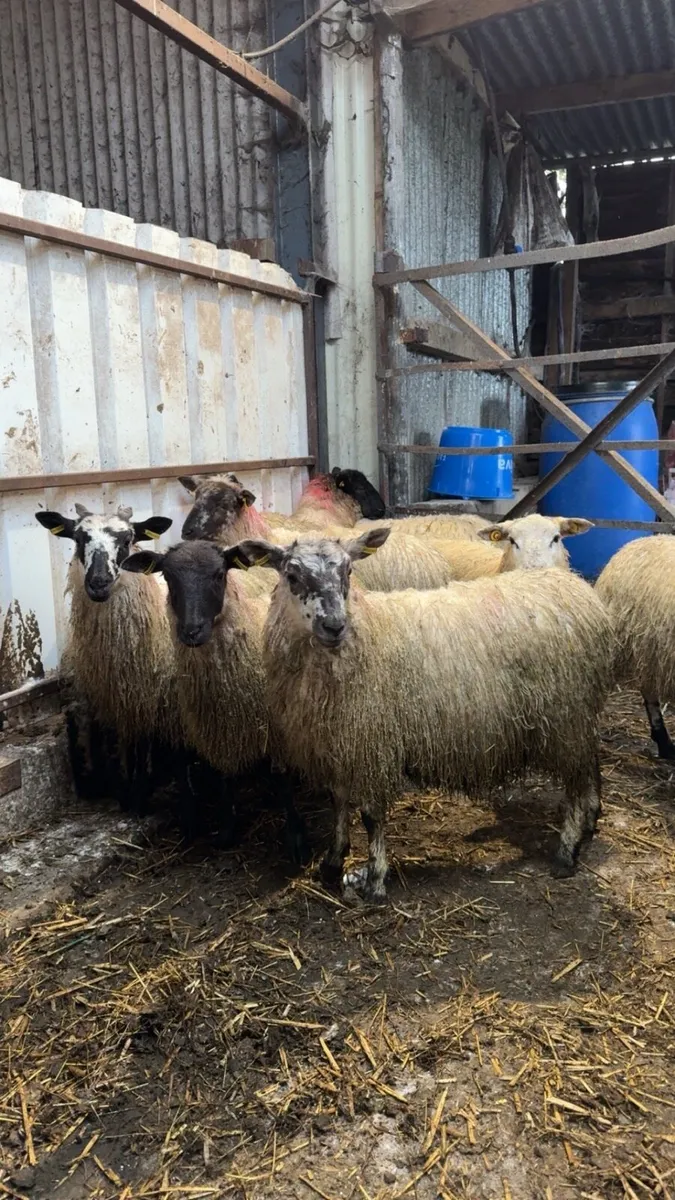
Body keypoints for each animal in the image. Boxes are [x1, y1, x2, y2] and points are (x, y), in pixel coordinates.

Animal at [121, 539, 309, 863]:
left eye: (219, 574)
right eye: (167, 576)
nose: (192, 631)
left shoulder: (275, 729)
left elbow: (281, 776)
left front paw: (296, 837)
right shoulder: (218, 725)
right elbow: (223, 776)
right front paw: (226, 828)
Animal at [228, 529, 615, 901]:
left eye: (349, 571)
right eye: (292, 575)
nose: (335, 626)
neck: (363, 634)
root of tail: (578, 589)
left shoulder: (372, 740)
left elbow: (370, 814)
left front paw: (376, 880)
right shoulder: (341, 740)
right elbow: (338, 801)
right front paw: (332, 862)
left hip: (566, 716)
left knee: (575, 783)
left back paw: (567, 851)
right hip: (578, 714)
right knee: (590, 763)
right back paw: (591, 822)